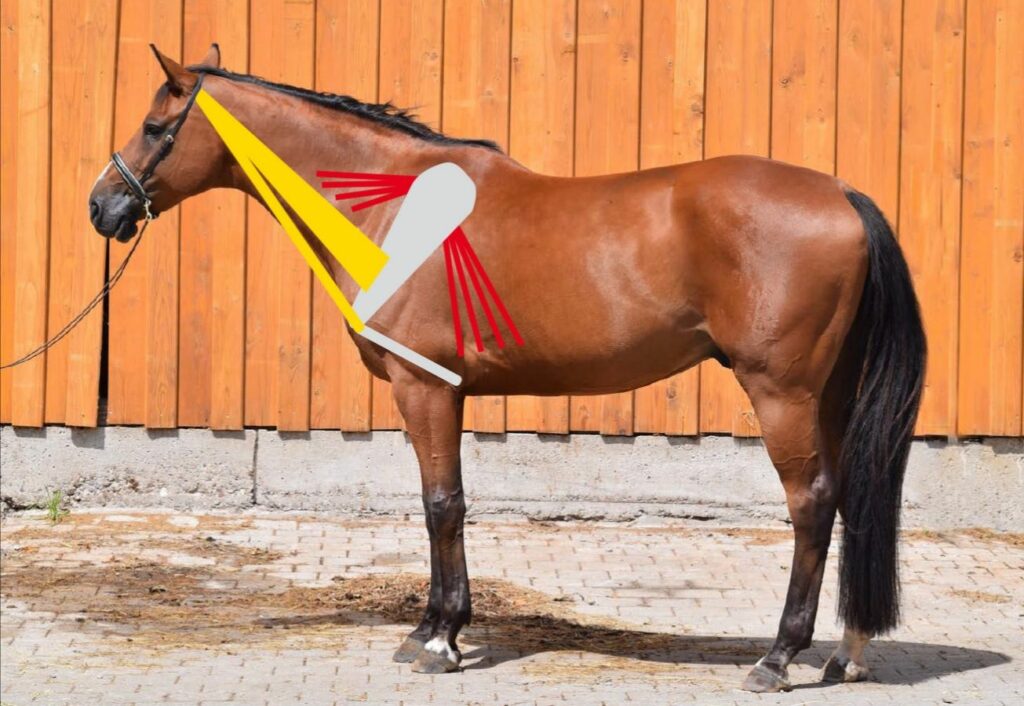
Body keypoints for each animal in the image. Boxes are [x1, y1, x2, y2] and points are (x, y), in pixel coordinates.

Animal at [88, 45, 925, 693]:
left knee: (813, 504)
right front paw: (434, 627)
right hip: (830, 394)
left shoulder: (424, 387)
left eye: (157, 126)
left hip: (782, 392)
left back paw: (777, 658)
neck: (393, 206)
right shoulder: (448, 390)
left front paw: (440, 640)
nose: (102, 207)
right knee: (851, 498)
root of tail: (841, 193)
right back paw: (846, 655)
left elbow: (440, 505)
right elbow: (449, 502)